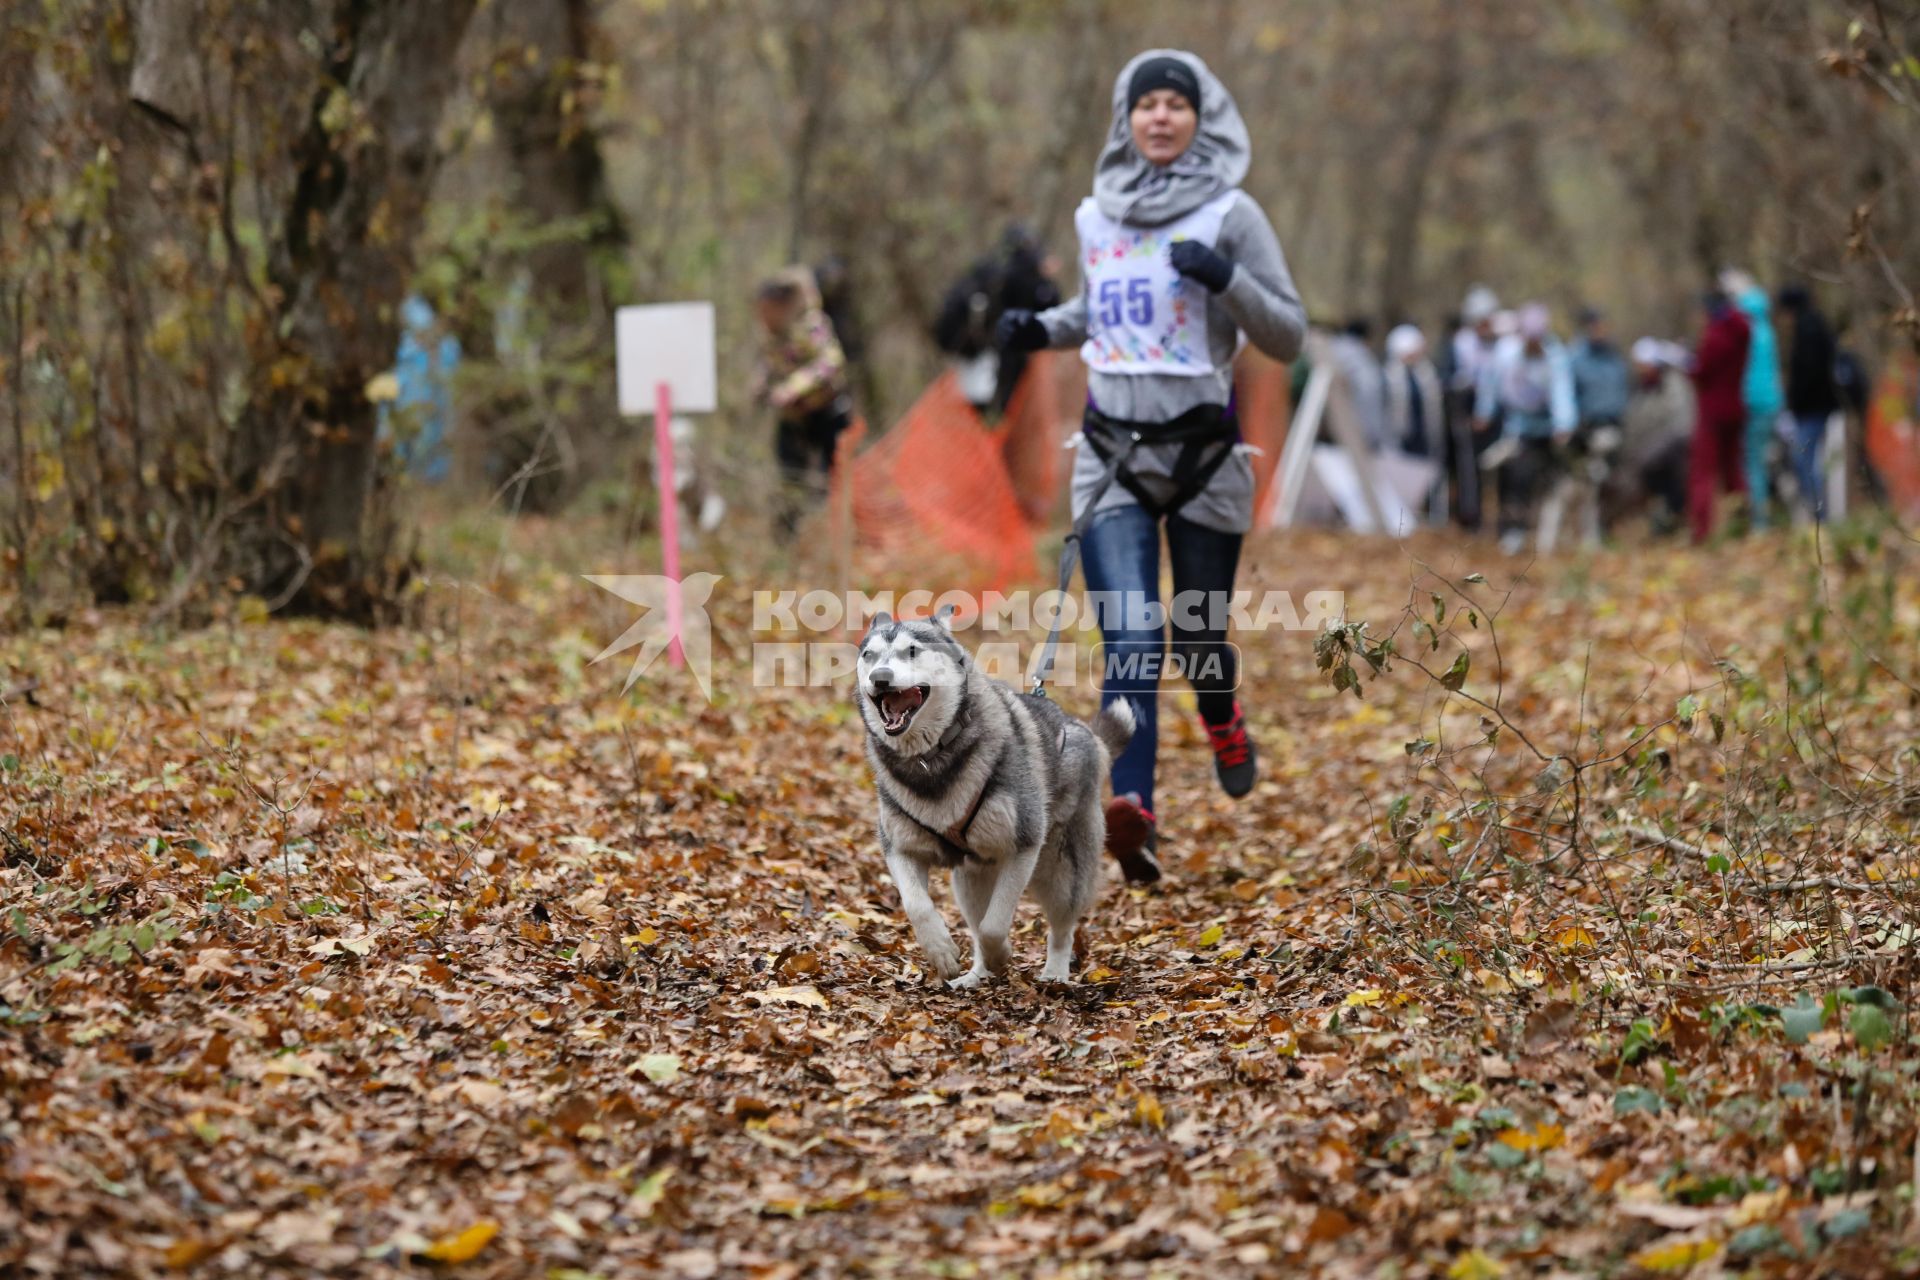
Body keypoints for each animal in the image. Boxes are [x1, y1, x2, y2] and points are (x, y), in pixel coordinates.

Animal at [860, 606, 1136, 990]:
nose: (880, 678)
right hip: (970, 879)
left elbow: (994, 925)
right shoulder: (900, 847)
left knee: (1061, 928)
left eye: (911, 650)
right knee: (975, 922)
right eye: (869, 656)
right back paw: (976, 974)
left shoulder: (1023, 845)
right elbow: (919, 906)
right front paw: (942, 952)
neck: (932, 761)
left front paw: (1001, 954)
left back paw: (1054, 973)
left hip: (1062, 872)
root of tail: (1086, 732)